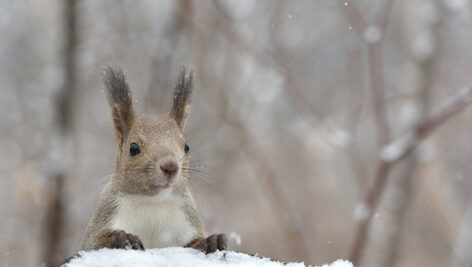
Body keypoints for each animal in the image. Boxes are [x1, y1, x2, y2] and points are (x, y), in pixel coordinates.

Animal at [79, 67, 227, 255]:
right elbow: (95, 243)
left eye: (186, 146)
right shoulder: (104, 219)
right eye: (133, 148)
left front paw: (211, 241)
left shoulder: (187, 220)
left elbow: (194, 242)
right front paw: (122, 238)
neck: (153, 203)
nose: (170, 166)